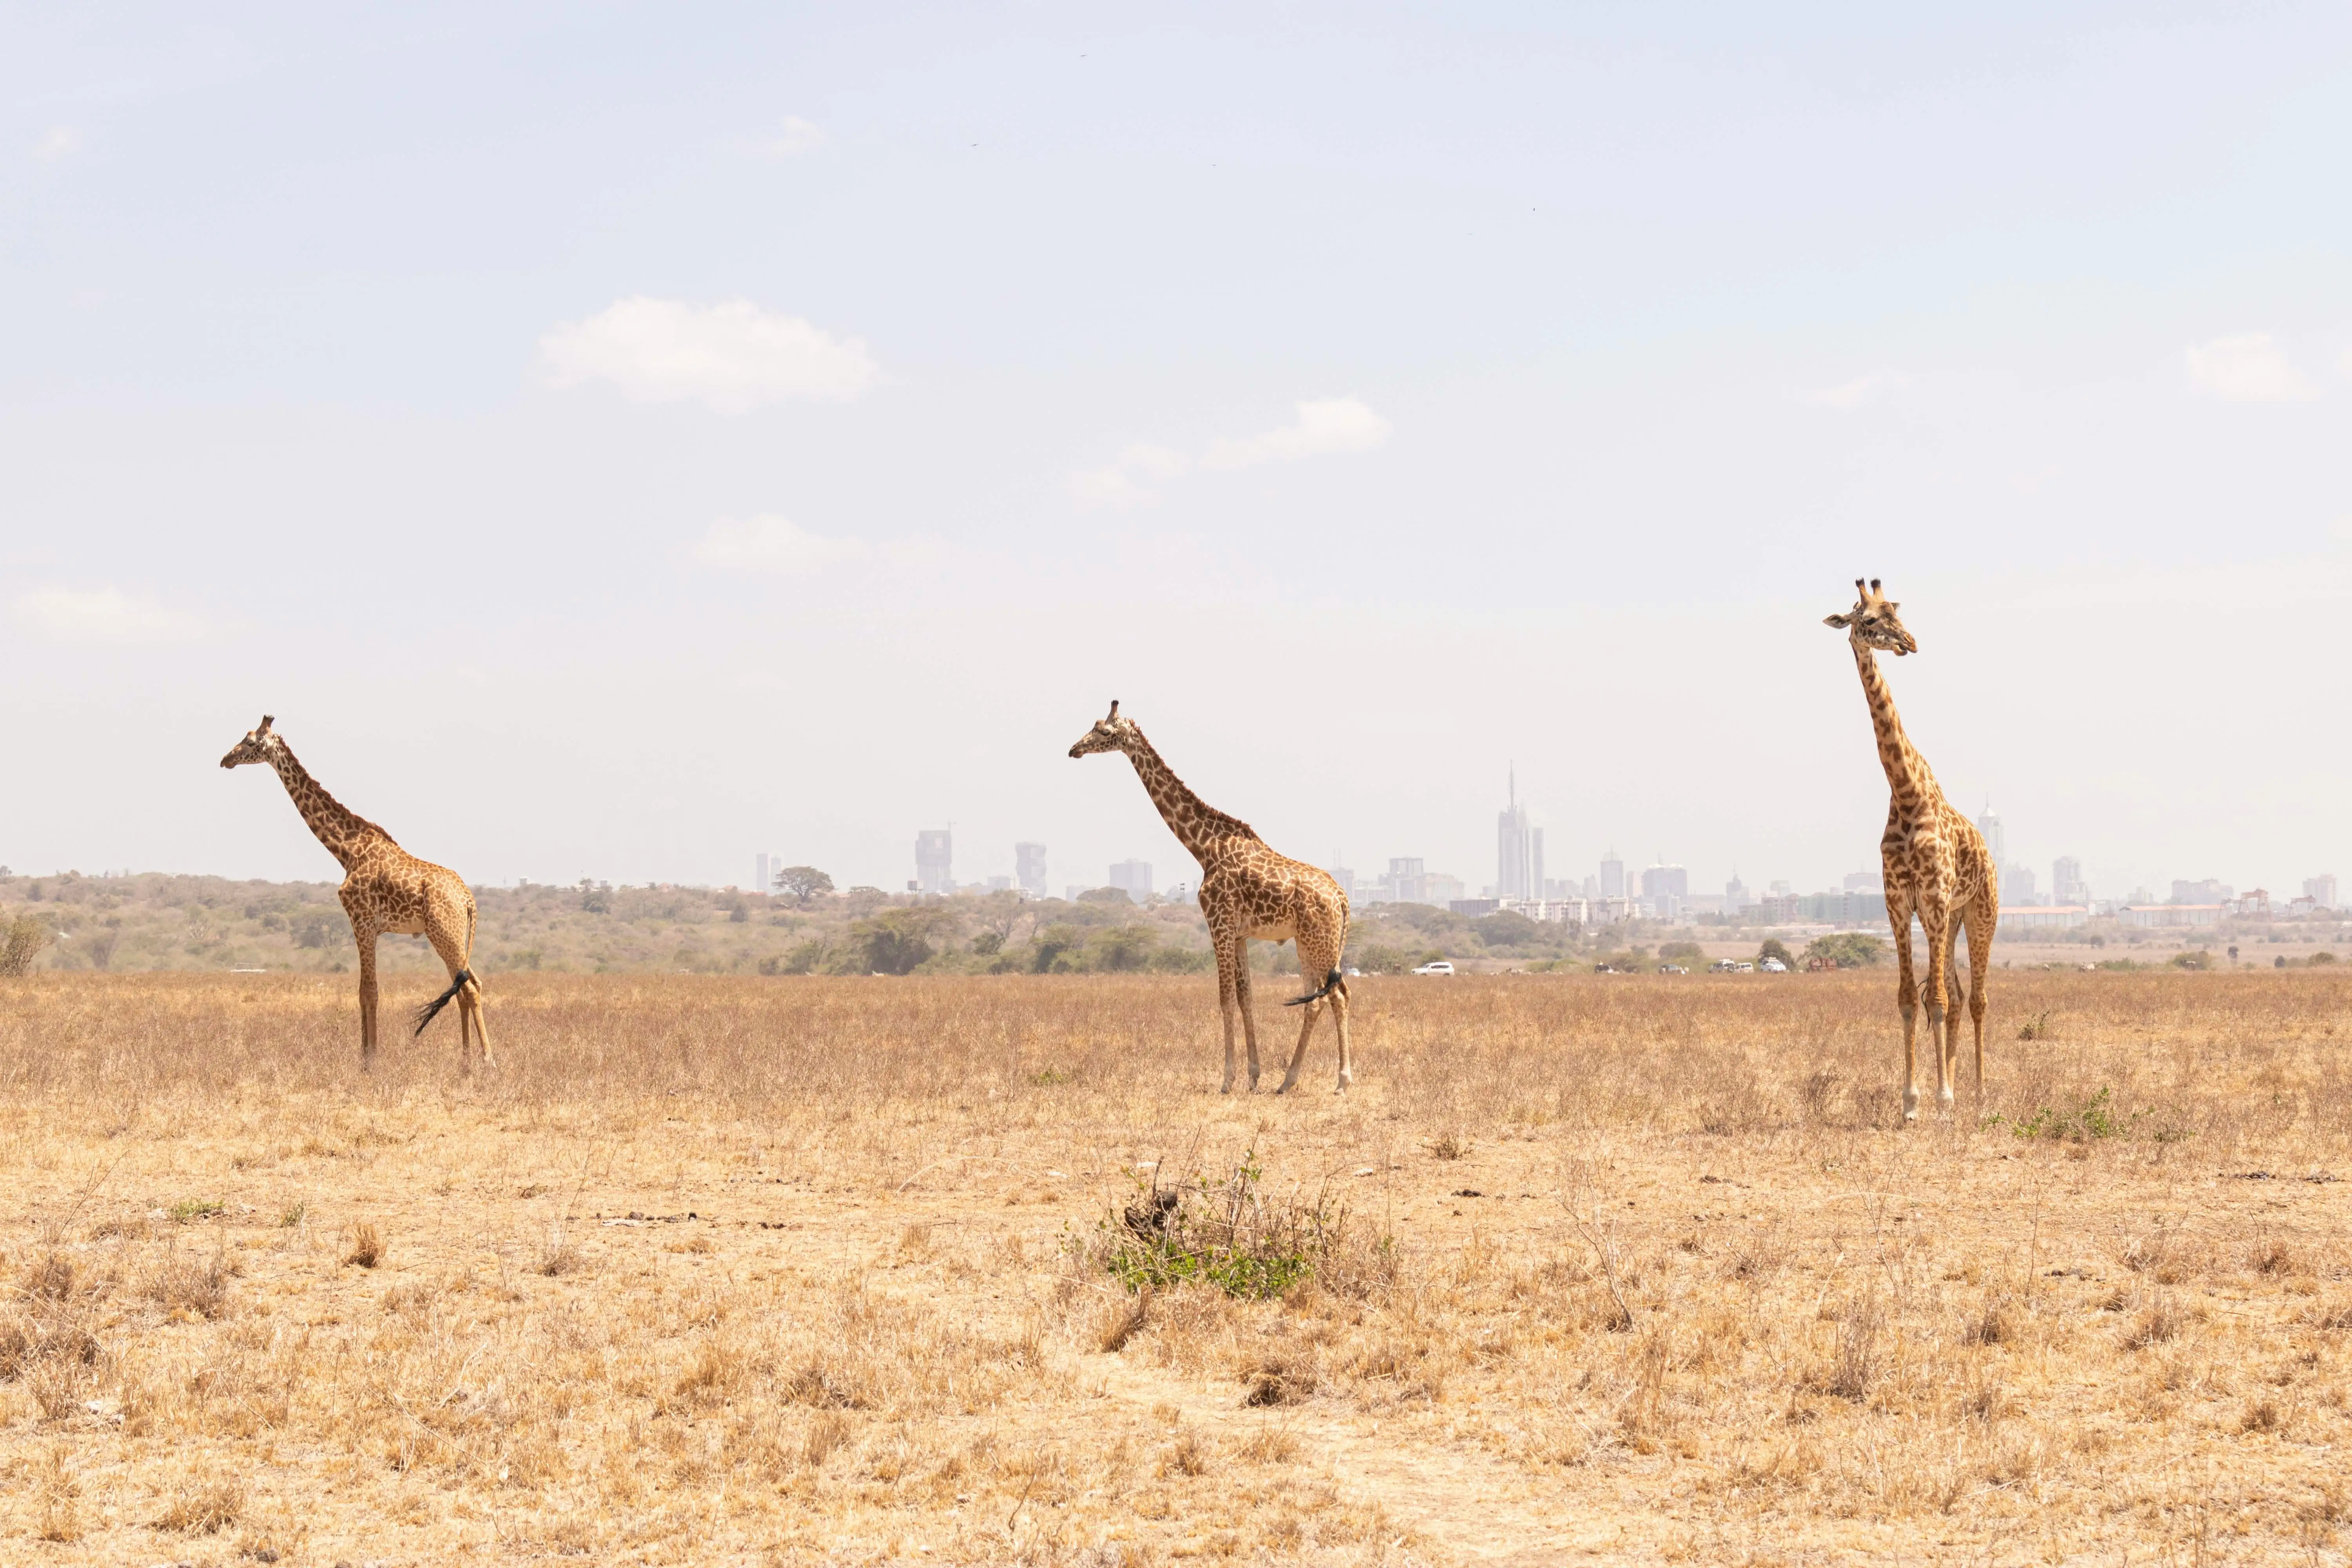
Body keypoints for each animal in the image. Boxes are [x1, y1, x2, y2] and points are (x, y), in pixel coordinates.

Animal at [219, 716, 490, 1070]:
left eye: (250, 742)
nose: (226, 760)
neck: (347, 850)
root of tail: (468, 899)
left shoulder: (362, 921)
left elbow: (370, 992)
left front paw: (371, 1060)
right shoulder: (364, 925)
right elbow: (362, 991)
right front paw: (363, 1056)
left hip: (444, 932)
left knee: (469, 987)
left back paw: (488, 1061)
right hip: (452, 934)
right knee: (466, 986)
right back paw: (466, 1062)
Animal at [1069, 702, 1354, 1094]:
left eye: (1105, 732)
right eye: (1094, 726)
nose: (1074, 749)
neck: (1203, 847)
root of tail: (1342, 899)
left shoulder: (1218, 924)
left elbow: (1225, 1000)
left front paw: (1227, 1079)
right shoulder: (1239, 934)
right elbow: (1246, 998)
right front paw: (1253, 1076)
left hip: (1316, 941)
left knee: (1331, 997)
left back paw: (1334, 1082)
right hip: (1313, 943)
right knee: (1327, 998)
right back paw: (1293, 1081)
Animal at [1825, 581, 1997, 1122]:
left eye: (1895, 612)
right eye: (1868, 620)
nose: (1910, 642)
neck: (1904, 792)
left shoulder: (1936, 897)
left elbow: (1935, 1000)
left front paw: (1942, 1101)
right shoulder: (1900, 902)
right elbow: (1908, 998)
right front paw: (1912, 1102)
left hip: (1980, 913)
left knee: (1977, 998)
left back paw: (1978, 1097)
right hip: (1952, 917)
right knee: (1961, 995)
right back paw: (1960, 1088)